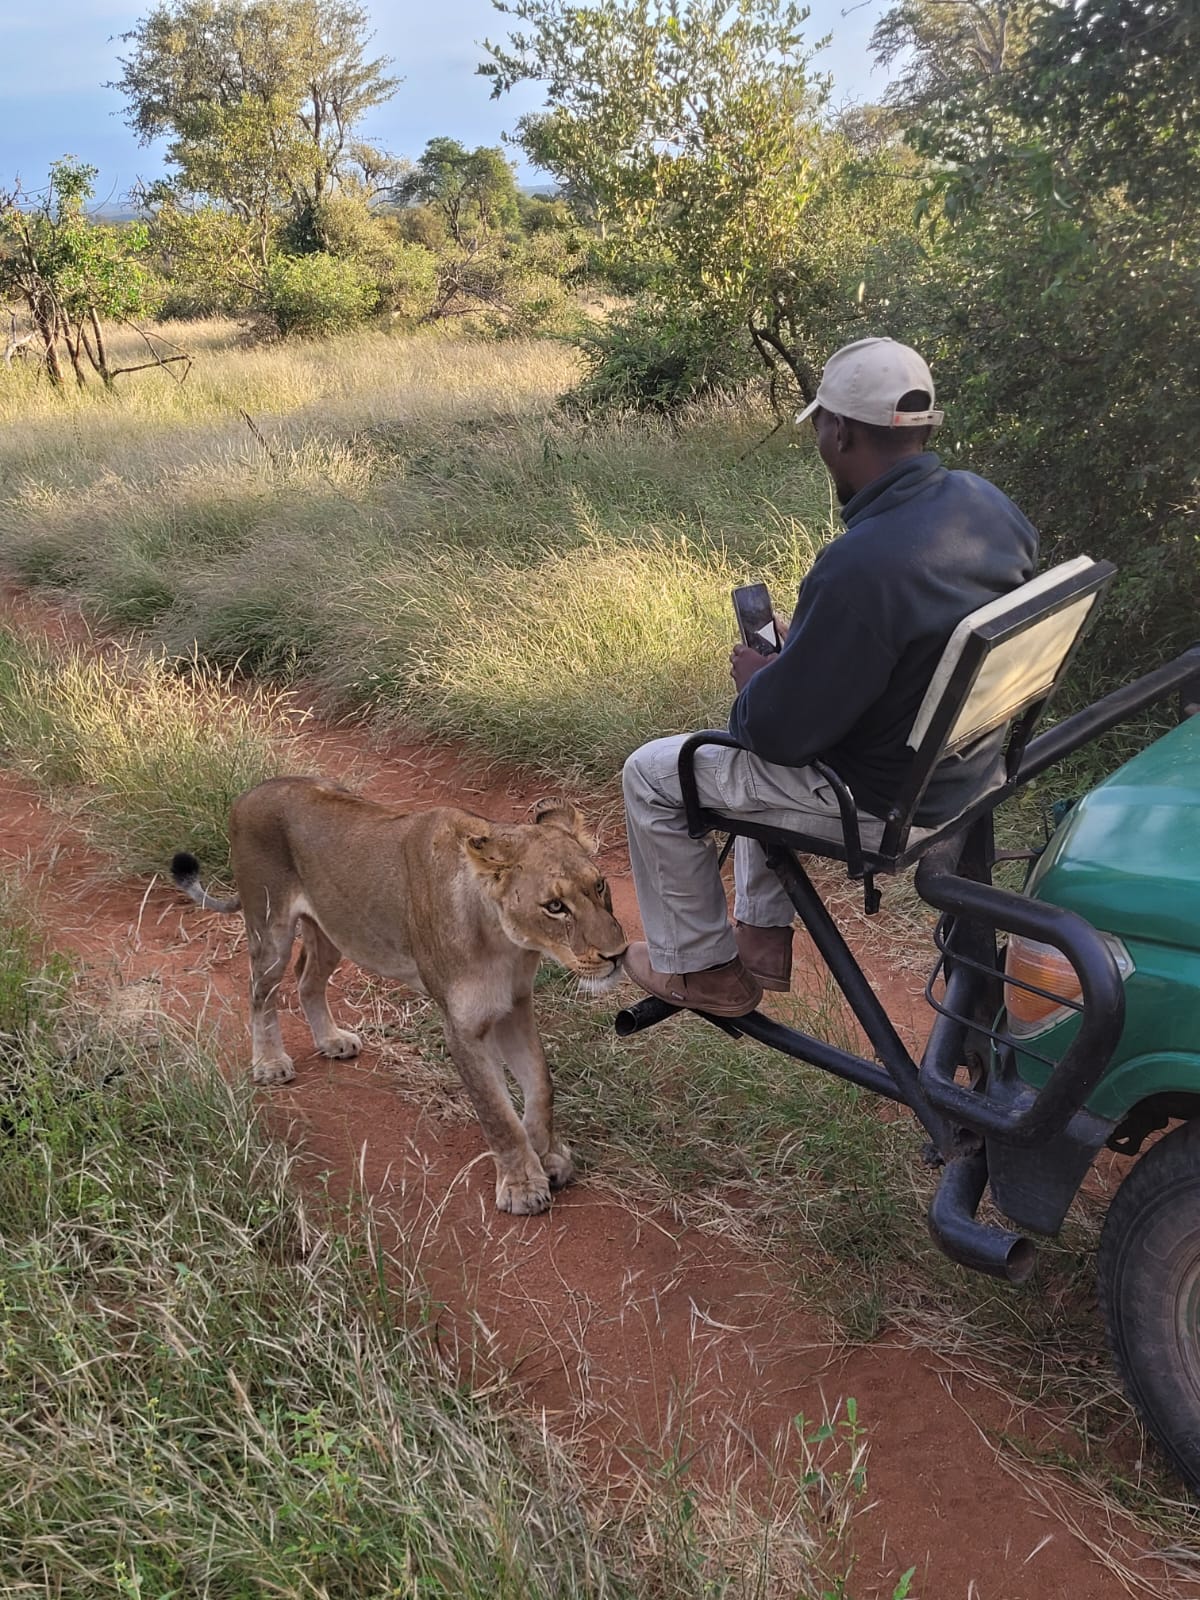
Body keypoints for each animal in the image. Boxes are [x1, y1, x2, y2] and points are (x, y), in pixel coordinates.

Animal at [171, 777, 627, 1214]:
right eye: (554, 906)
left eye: (600, 885)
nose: (618, 955)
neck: (508, 944)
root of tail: (250, 794)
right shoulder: (462, 1027)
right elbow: (497, 1113)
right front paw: (522, 1187)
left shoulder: (514, 1007)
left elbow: (540, 1087)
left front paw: (548, 1158)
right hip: (269, 927)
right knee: (261, 993)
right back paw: (269, 1063)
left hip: (336, 929)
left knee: (306, 979)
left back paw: (331, 1041)